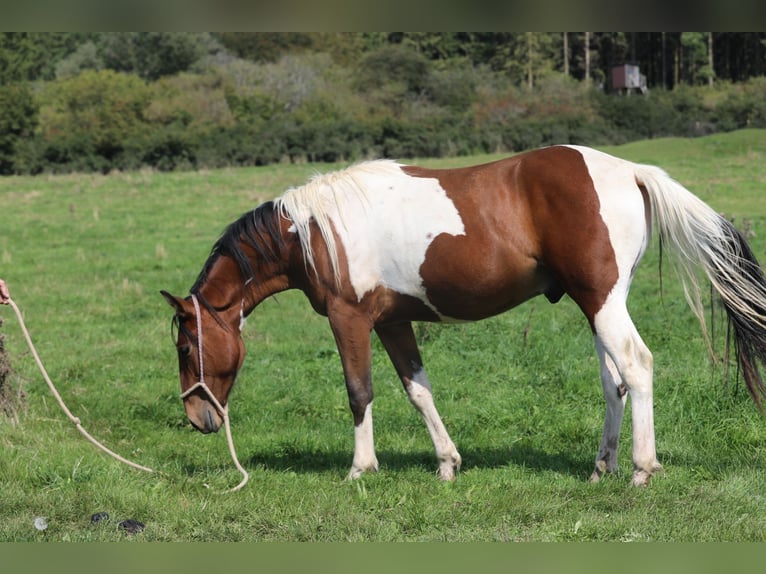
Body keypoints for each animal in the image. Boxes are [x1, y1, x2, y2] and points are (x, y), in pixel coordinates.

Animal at [162, 146, 766, 488]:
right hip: (597, 305)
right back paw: (602, 468)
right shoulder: (392, 322)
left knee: (637, 368)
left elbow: (359, 391)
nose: (198, 417)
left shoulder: (348, 319)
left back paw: (642, 468)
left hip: (603, 302)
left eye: (186, 347)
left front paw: (360, 468)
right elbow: (418, 390)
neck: (316, 231)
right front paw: (447, 463)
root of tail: (631, 172)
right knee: (612, 382)